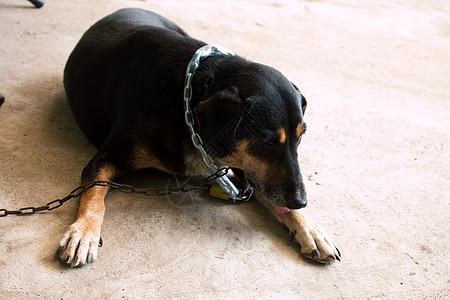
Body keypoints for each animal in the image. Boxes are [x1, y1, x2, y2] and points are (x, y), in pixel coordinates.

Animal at [59, 8, 342, 268]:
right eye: (268, 140)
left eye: (300, 137)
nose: (300, 202)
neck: (187, 101)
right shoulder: (105, 158)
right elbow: (94, 194)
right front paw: (83, 232)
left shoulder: (249, 170)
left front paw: (310, 230)